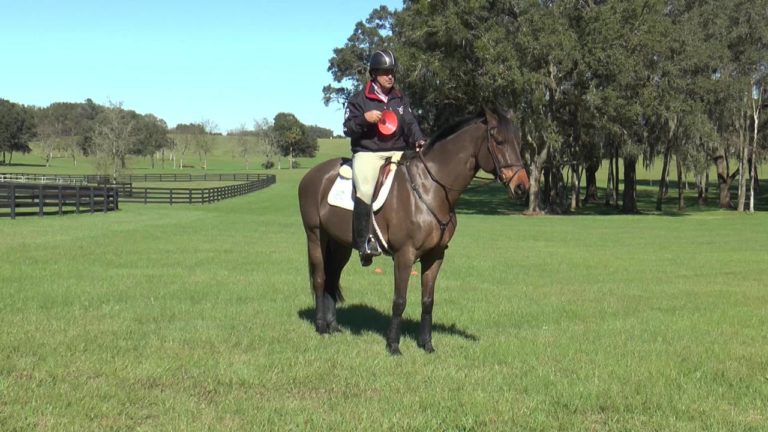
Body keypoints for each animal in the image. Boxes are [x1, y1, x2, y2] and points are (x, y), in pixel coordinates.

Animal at [298, 107, 530, 355]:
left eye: (518, 141)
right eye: (499, 140)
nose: (522, 187)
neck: (431, 188)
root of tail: (312, 175)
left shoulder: (435, 255)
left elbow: (428, 300)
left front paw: (426, 343)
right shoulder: (404, 255)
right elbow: (399, 300)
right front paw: (393, 345)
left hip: (340, 245)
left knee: (332, 278)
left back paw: (333, 326)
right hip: (315, 237)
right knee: (320, 278)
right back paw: (321, 326)